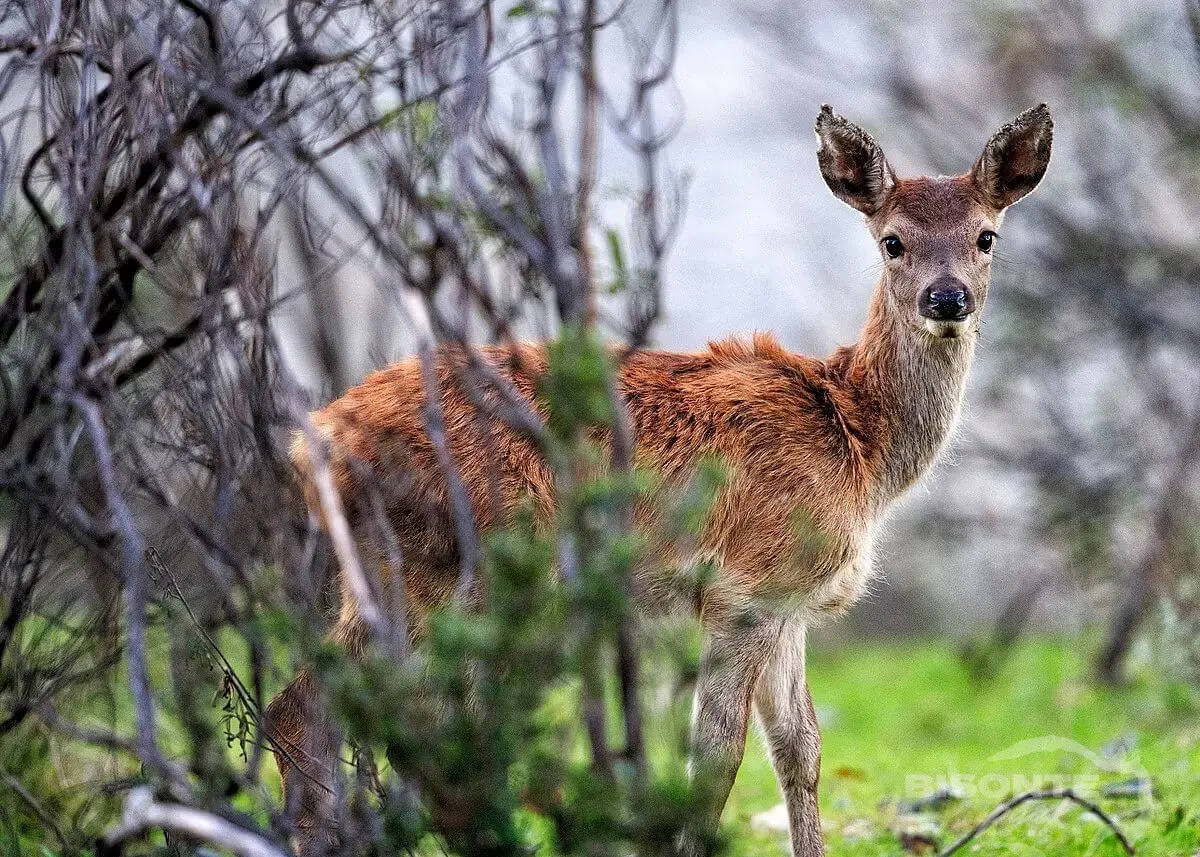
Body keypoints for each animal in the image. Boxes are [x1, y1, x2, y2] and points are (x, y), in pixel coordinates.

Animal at [267, 103, 1053, 856]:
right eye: (892, 241)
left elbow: (800, 750)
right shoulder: (744, 589)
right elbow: (716, 759)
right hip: (442, 567)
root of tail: (312, 443)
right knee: (324, 710)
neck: (859, 442)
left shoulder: (790, 604)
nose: (946, 299)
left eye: (986, 236)